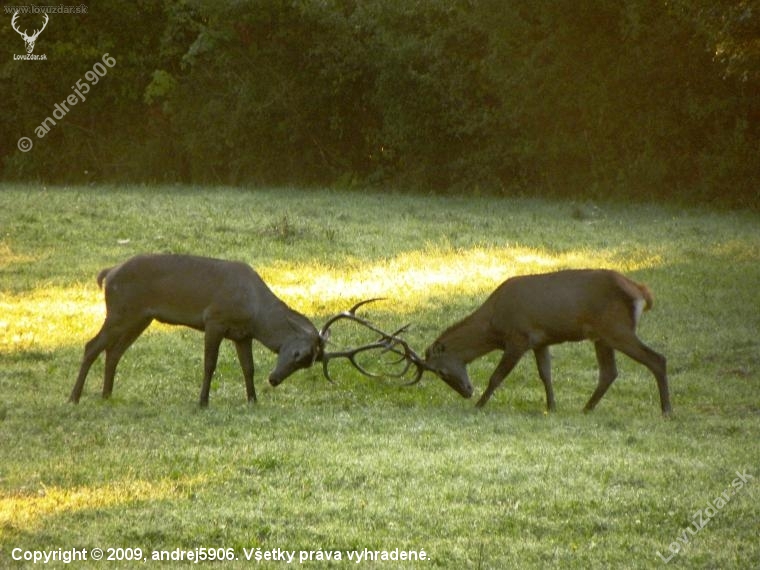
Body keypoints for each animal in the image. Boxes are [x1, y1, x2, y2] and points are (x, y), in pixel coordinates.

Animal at [70, 254, 396, 407]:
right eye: (298, 352)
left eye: (306, 363)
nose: (275, 380)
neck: (254, 312)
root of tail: (107, 274)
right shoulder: (214, 319)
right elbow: (210, 364)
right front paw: (202, 402)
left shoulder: (242, 335)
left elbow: (247, 368)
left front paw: (253, 400)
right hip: (121, 309)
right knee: (92, 345)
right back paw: (74, 397)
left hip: (141, 318)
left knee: (113, 351)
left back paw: (106, 395)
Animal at [399, 269, 671, 416]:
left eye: (441, 371)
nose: (467, 391)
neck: (493, 324)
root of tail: (642, 293)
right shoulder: (541, 341)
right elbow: (545, 375)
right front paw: (551, 406)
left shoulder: (519, 337)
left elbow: (496, 376)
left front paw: (479, 405)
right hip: (602, 335)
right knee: (609, 372)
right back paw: (586, 408)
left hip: (617, 329)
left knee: (656, 359)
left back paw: (667, 410)